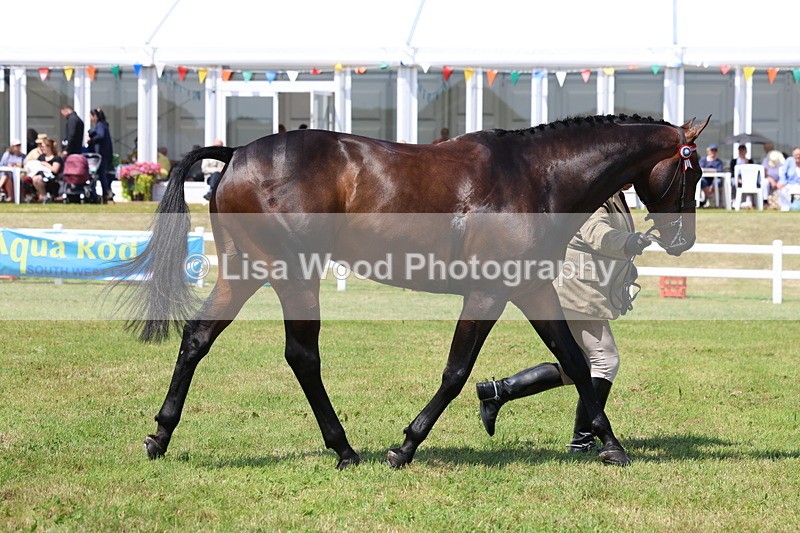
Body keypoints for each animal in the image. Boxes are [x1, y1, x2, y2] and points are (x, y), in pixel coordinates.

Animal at [121, 113, 709, 469]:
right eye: (698, 171)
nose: (682, 240)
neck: (537, 176)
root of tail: (238, 151)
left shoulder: (532, 288)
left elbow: (576, 363)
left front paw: (609, 444)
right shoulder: (489, 292)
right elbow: (457, 371)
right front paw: (405, 445)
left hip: (245, 271)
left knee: (198, 337)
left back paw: (160, 436)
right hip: (293, 273)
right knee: (302, 355)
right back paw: (344, 449)